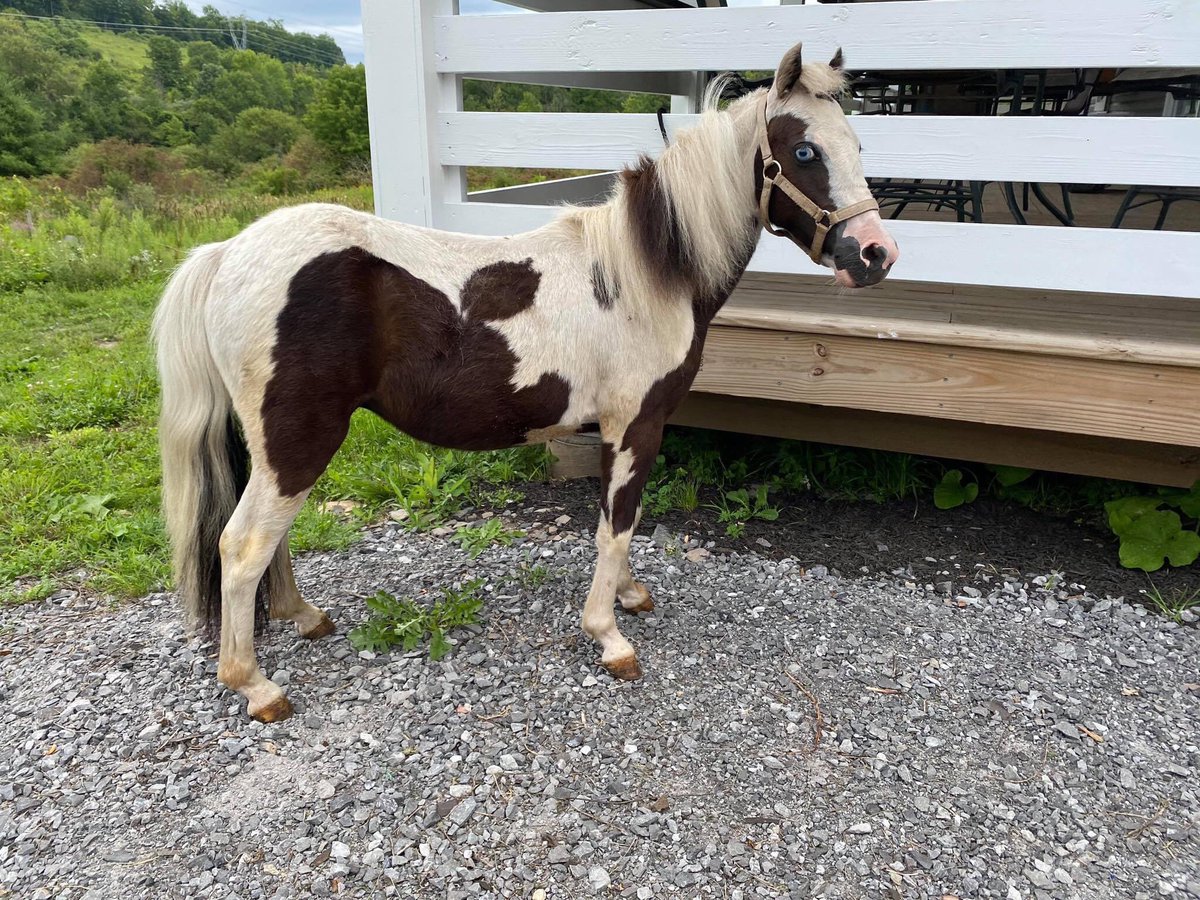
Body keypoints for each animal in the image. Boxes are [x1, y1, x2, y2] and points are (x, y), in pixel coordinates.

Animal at [154, 44, 897, 724]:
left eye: (857, 144)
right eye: (803, 152)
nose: (876, 255)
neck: (645, 273)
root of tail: (227, 253)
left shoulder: (614, 429)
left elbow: (614, 519)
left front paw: (628, 596)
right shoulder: (638, 424)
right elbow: (617, 525)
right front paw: (609, 636)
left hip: (276, 447)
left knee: (264, 541)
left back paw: (302, 617)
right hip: (298, 441)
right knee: (242, 545)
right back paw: (255, 685)